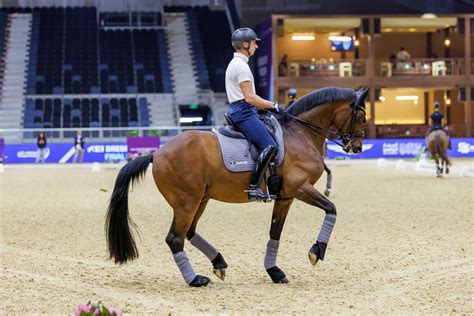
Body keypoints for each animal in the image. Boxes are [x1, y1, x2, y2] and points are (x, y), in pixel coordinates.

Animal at [105, 86, 368, 286]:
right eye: (362, 116)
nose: (357, 147)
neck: (299, 134)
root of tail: (157, 153)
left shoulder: (285, 197)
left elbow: (275, 233)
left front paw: (275, 271)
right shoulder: (300, 188)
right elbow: (332, 209)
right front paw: (317, 251)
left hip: (200, 200)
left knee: (189, 232)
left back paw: (218, 262)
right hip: (186, 202)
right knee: (175, 238)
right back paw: (195, 279)